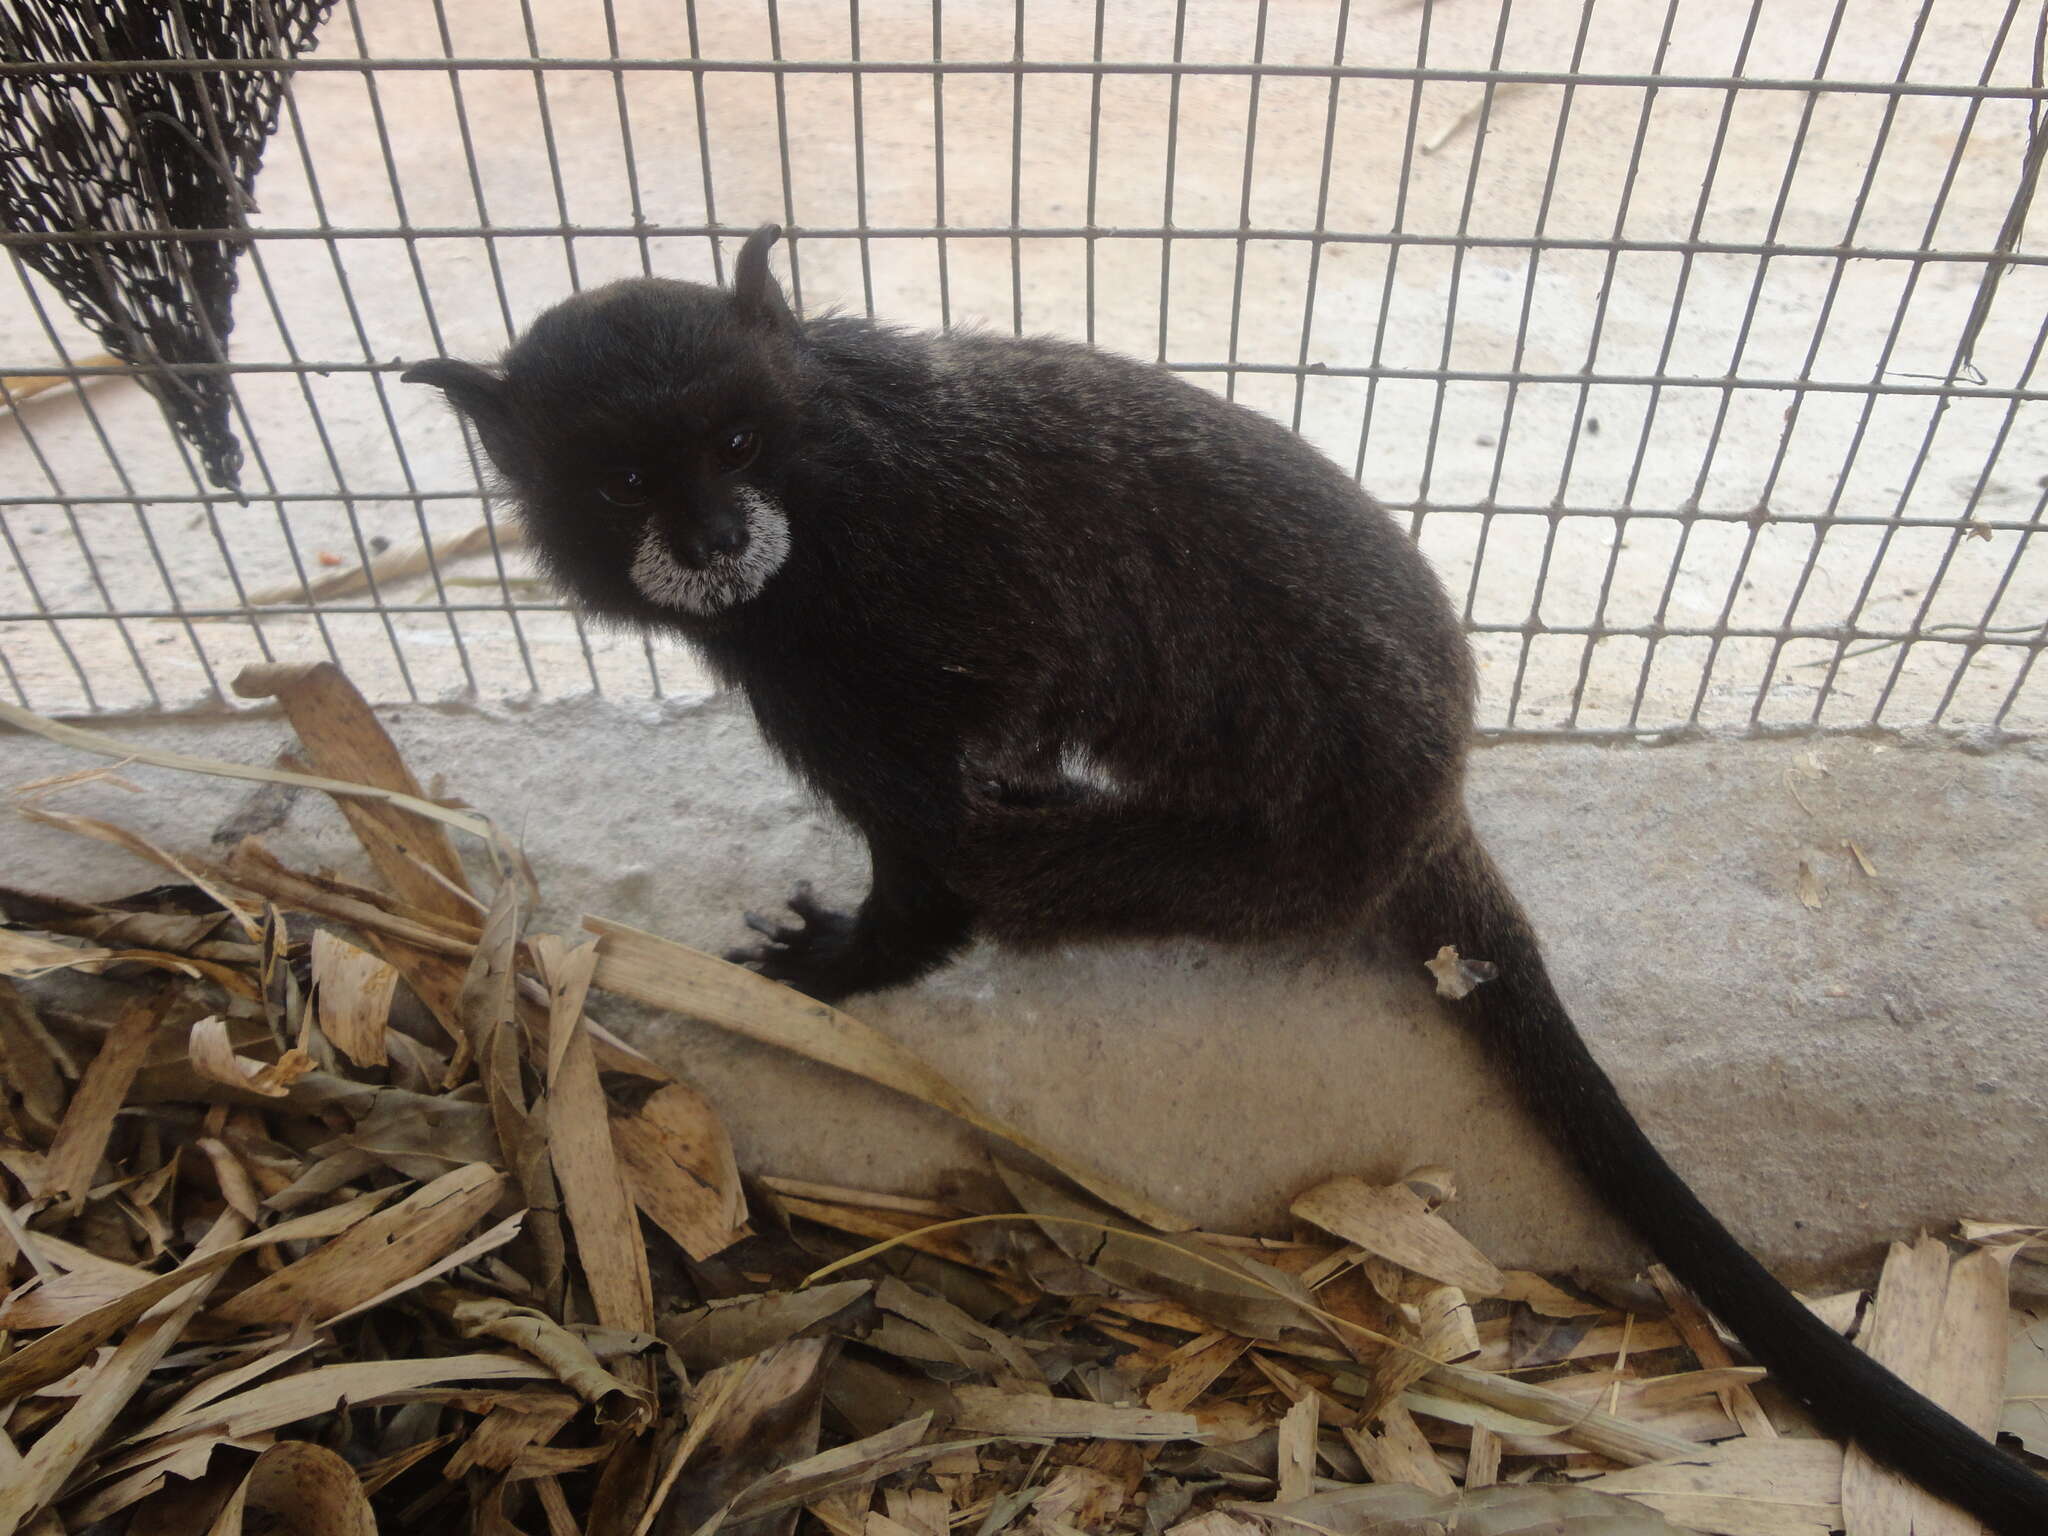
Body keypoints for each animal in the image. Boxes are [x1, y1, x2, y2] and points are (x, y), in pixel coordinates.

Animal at [411, 222, 2048, 1531]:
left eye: (740, 446)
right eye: (625, 472)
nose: (708, 535)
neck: (822, 491)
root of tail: (1430, 807)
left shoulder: (916, 647)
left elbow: (943, 850)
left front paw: (847, 964)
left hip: (1237, 861)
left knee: (1028, 861)